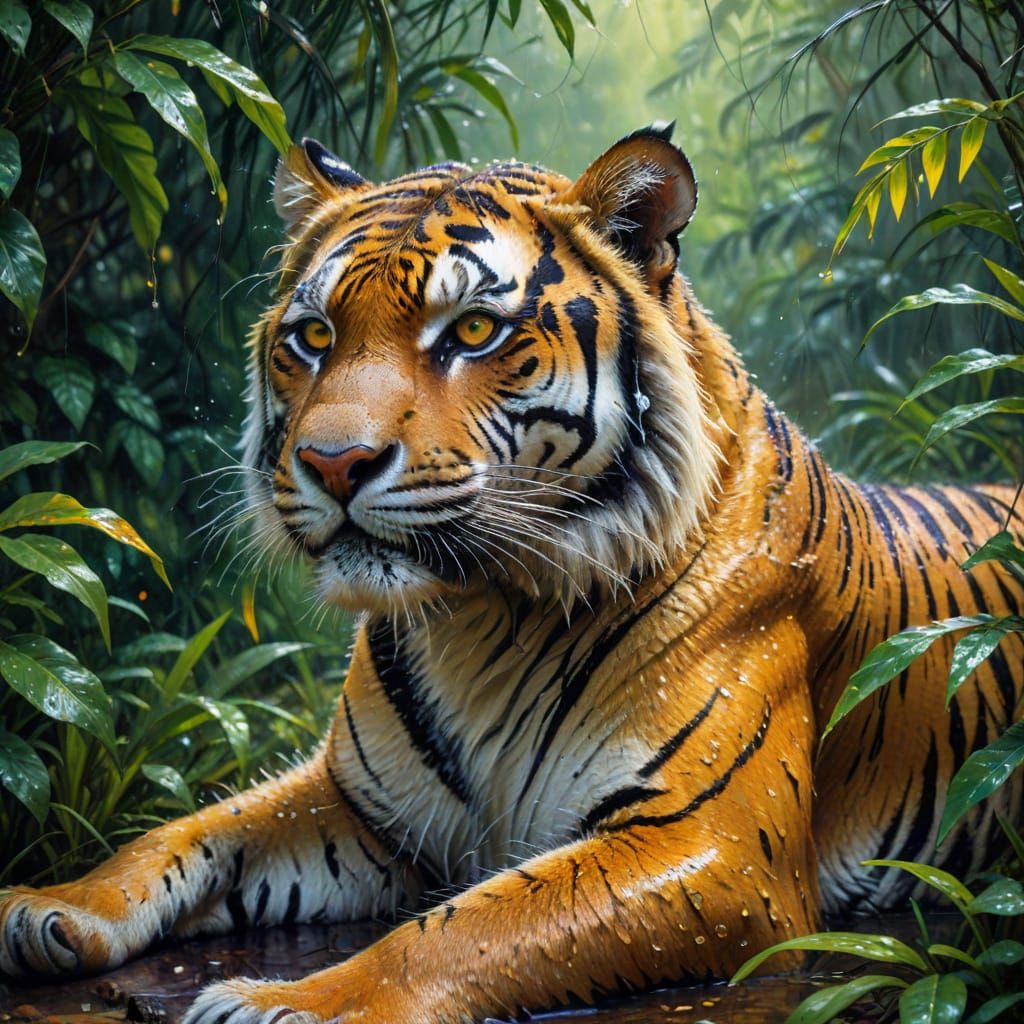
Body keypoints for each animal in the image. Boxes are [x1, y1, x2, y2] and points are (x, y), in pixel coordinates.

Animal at [1, 125, 1022, 1024]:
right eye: (314, 337)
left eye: (474, 330)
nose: (333, 463)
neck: (478, 617)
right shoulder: (365, 810)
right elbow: (193, 830)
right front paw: (52, 905)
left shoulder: (717, 847)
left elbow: (465, 929)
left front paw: (291, 1002)